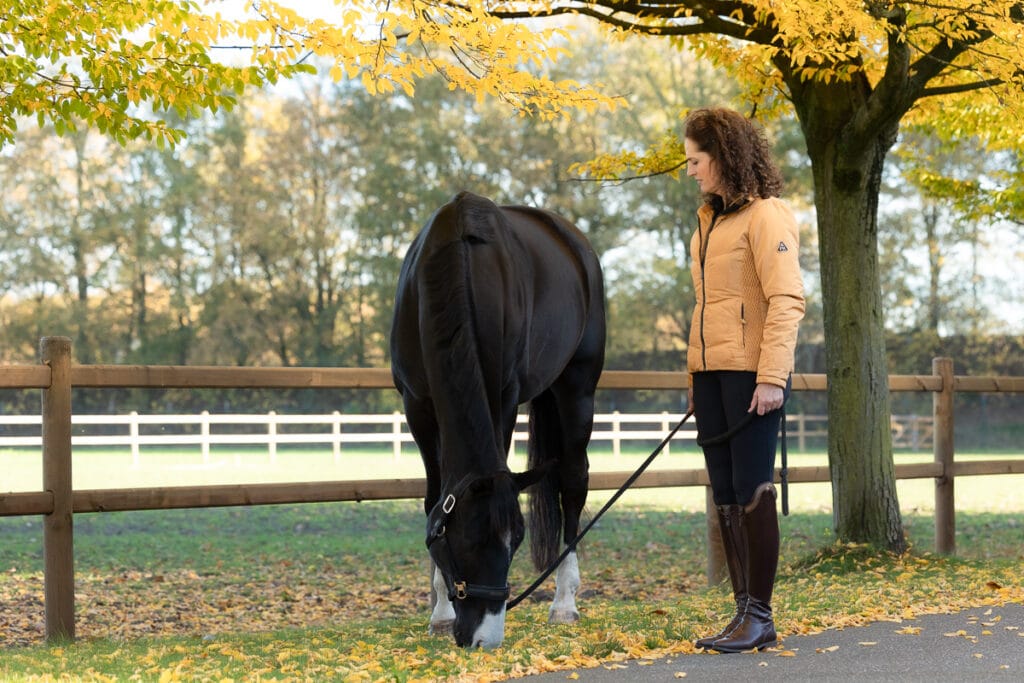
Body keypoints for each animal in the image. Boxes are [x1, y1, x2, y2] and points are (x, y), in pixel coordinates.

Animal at [389, 191, 605, 648]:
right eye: (467, 541)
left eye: (515, 542)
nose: (483, 639)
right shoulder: (416, 405)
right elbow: (433, 499)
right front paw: (439, 613)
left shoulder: (503, 397)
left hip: (578, 388)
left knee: (572, 484)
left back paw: (564, 603)